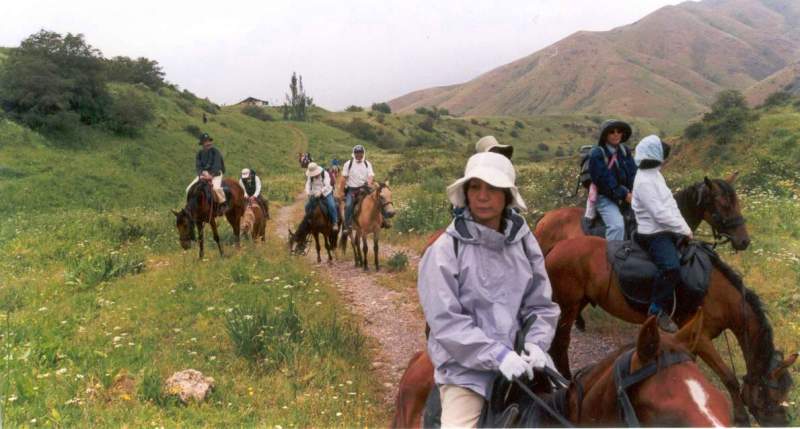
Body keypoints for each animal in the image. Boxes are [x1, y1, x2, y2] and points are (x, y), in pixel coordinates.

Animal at [548, 234, 796, 424]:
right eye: (770, 395)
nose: (781, 423)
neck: (718, 293)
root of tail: (555, 248)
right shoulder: (702, 337)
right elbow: (729, 377)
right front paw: (741, 417)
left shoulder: (691, 339)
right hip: (568, 306)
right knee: (560, 343)